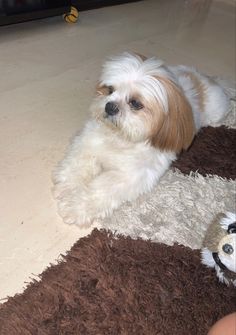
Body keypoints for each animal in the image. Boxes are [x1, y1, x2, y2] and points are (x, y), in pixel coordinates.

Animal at [52, 51, 230, 226]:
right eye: (109, 89)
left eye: (135, 103)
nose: (110, 106)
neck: (121, 138)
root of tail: (206, 78)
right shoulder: (87, 145)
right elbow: (76, 167)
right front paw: (68, 188)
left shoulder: (130, 176)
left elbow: (100, 189)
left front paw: (76, 207)